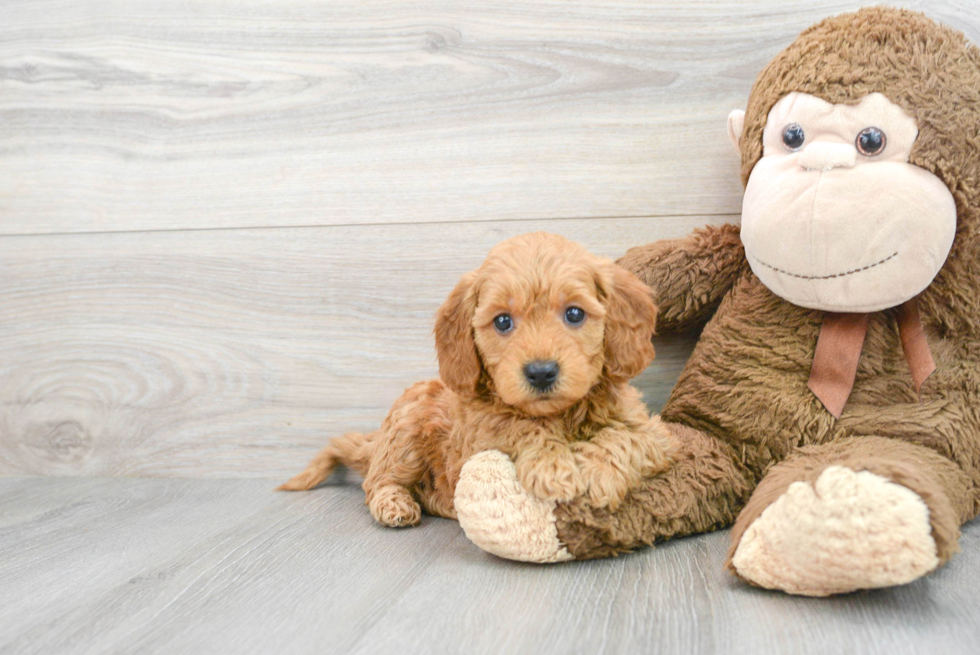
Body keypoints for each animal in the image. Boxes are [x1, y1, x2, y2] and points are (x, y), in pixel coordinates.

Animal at [280, 232, 668, 528]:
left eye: (574, 314)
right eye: (502, 321)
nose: (541, 372)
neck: (557, 415)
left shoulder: (656, 433)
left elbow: (627, 437)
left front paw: (598, 471)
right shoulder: (477, 438)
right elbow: (517, 425)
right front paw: (552, 466)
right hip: (404, 435)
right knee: (377, 481)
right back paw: (395, 504)